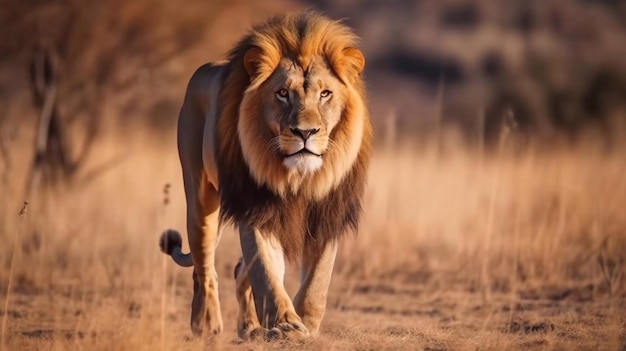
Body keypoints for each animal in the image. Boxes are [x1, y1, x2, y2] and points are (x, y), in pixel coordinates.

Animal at [158, 11, 370, 340]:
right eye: (282, 93)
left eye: (325, 94)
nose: (305, 132)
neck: (298, 178)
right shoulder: (255, 210)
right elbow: (267, 274)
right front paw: (286, 324)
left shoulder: (327, 214)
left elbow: (317, 283)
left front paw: (305, 324)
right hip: (200, 201)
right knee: (204, 268)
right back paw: (206, 325)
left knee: (237, 270)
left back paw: (249, 328)